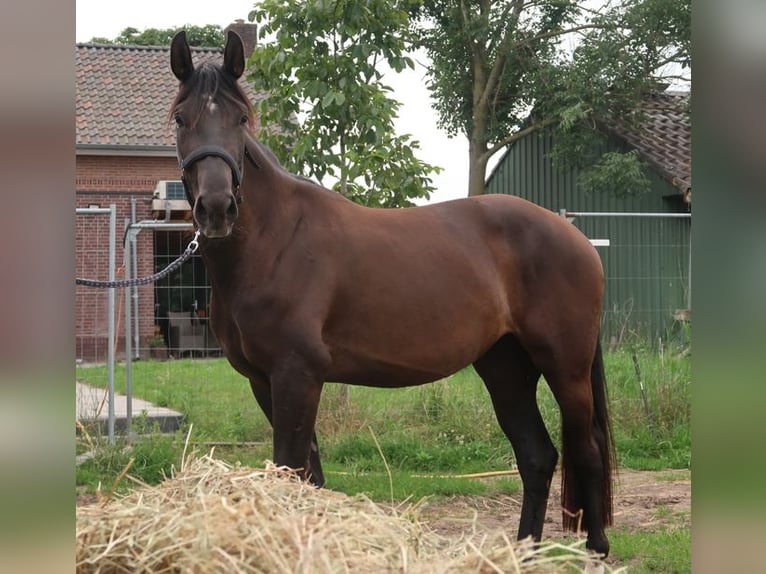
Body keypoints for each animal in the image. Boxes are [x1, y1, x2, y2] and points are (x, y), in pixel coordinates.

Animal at [170, 30, 616, 560]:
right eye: (181, 118)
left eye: (241, 119)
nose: (217, 208)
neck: (274, 240)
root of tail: (577, 238)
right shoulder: (266, 380)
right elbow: (309, 475)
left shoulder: (297, 374)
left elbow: (292, 469)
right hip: (505, 367)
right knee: (536, 455)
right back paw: (522, 550)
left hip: (565, 367)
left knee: (586, 449)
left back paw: (597, 549)